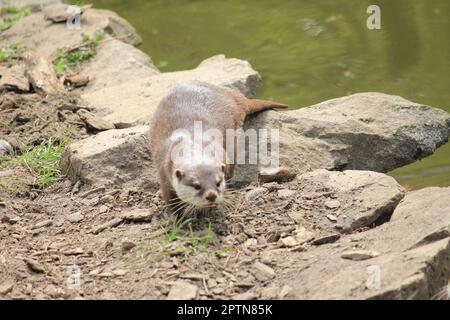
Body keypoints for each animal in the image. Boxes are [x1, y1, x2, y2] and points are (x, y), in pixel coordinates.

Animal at [149, 81, 286, 212]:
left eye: (218, 182)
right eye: (197, 186)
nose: (211, 195)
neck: (193, 143)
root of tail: (231, 95)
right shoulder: (164, 170)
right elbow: (170, 199)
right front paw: (177, 217)